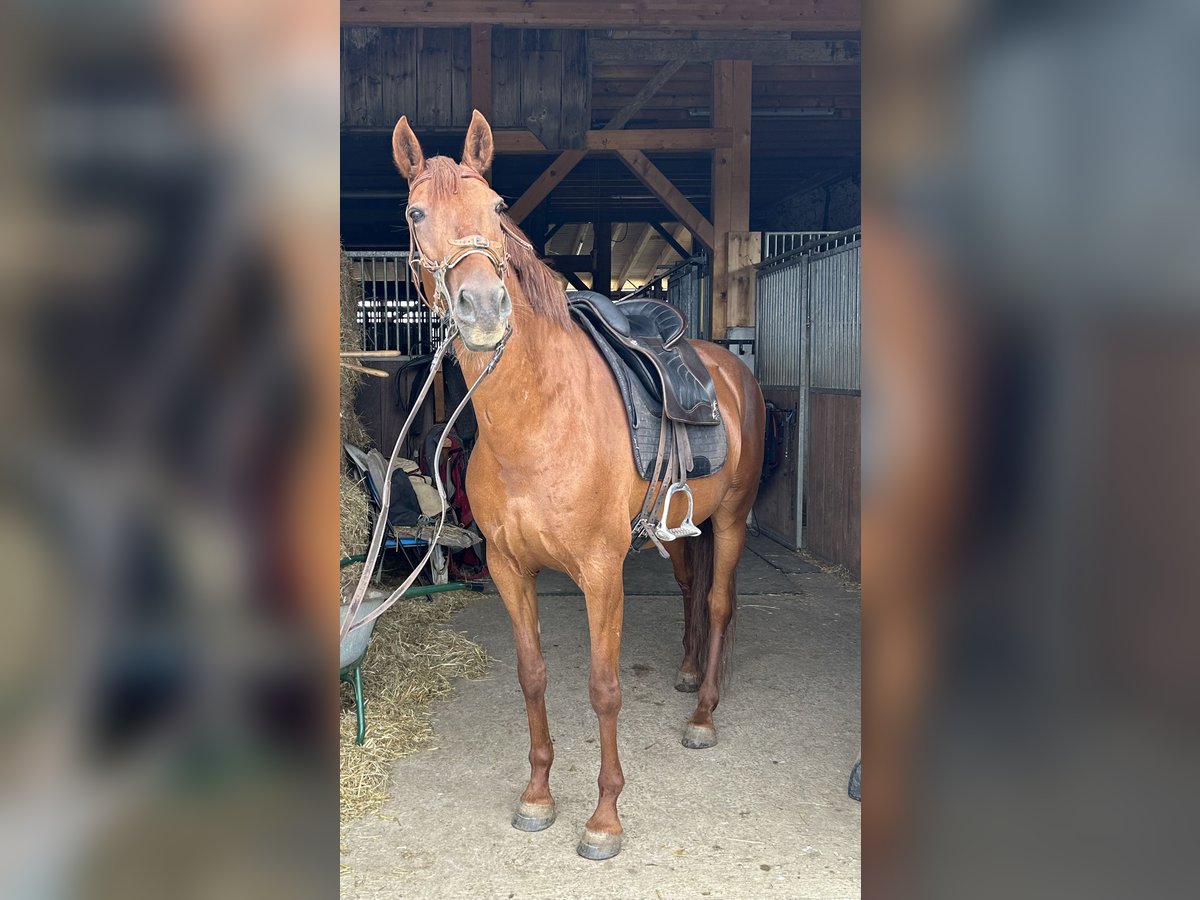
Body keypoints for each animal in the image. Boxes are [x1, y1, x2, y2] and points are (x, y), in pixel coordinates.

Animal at [393, 111, 768, 859]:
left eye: (497, 208)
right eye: (416, 213)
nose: (483, 307)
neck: (538, 420)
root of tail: (730, 368)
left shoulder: (601, 571)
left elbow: (603, 687)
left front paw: (605, 817)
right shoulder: (510, 569)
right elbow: (532, 676)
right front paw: (538, 795)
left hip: (734, 519)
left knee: (716, 603)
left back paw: (704, 713)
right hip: (681, 530)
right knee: (692, 588)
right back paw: (690, 674)